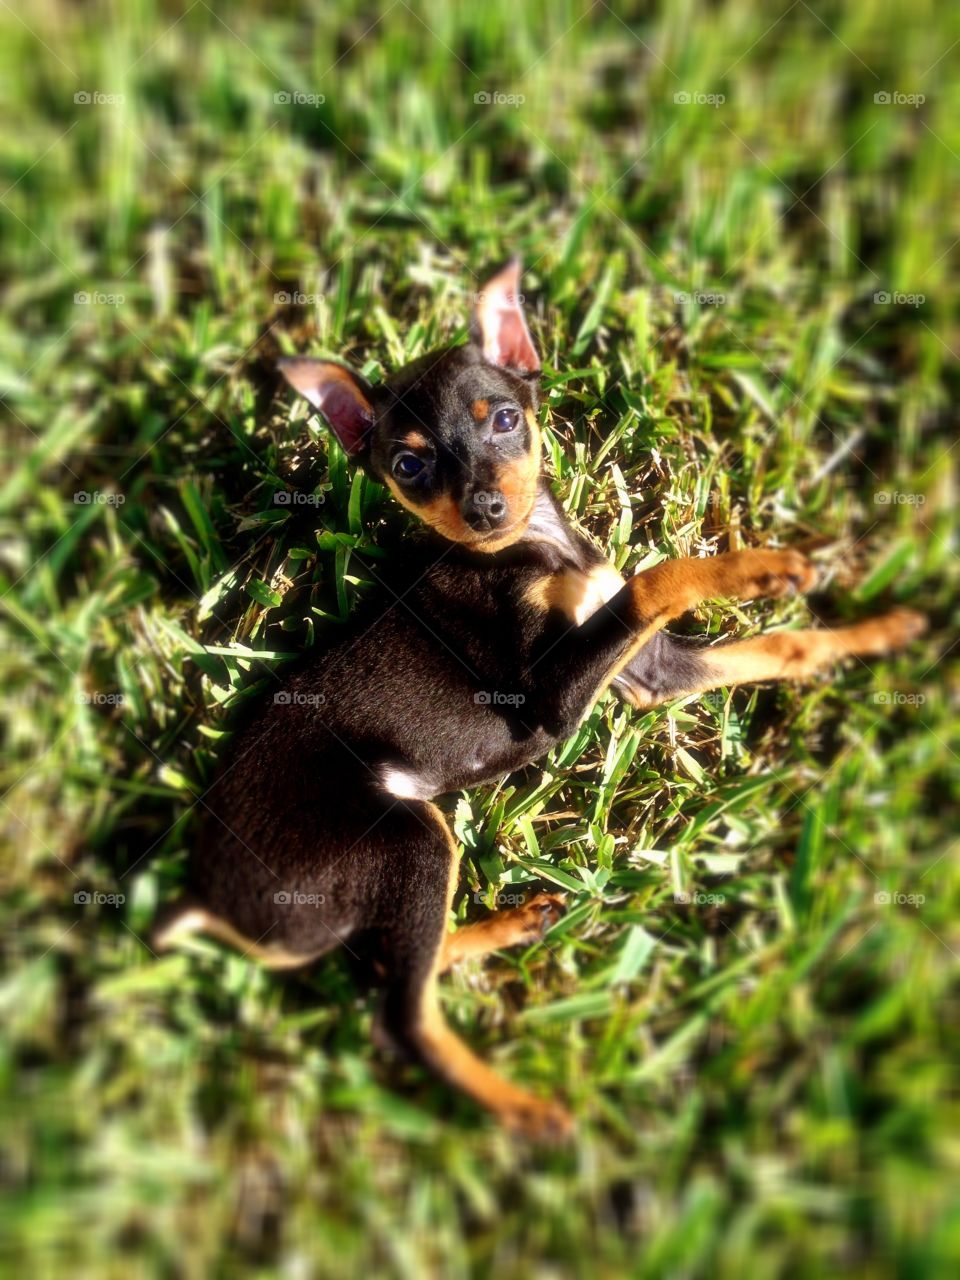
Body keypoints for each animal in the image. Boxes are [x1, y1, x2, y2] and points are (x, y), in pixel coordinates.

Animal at [156, 262, 926, 1141]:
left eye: (503, 420)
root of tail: (204, 894)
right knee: (401, 1016)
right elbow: (658, 578)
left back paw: (509, 927)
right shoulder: (553, 698)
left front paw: (881, 628)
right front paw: (753, 566)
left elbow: (781, 646)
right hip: (404, 839)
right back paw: (525, 1111)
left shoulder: (650, 674)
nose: (484, 509)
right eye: (409, 467)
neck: (535, 547)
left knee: (395, 960)